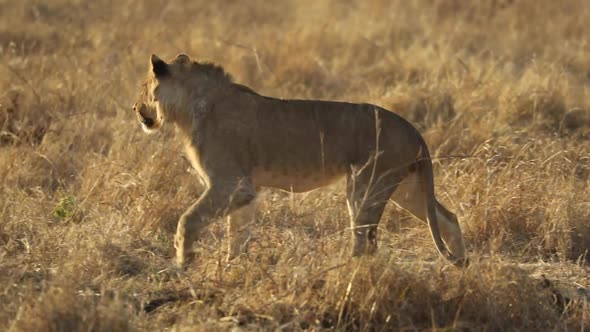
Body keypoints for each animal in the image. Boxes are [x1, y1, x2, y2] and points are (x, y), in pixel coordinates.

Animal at [133, 53, 468, 268]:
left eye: (143, 87)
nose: (135, 109)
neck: (188, 107)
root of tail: (414, 130)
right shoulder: (245, 190)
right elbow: (237, 234)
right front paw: (231, 268)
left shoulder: (231, 183)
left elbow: (188, 219)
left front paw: (183, 262)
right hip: (406, 188)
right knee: (448, 218)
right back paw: (462, 263)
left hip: (367, 186)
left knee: (366, 243)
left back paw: (342, 273)